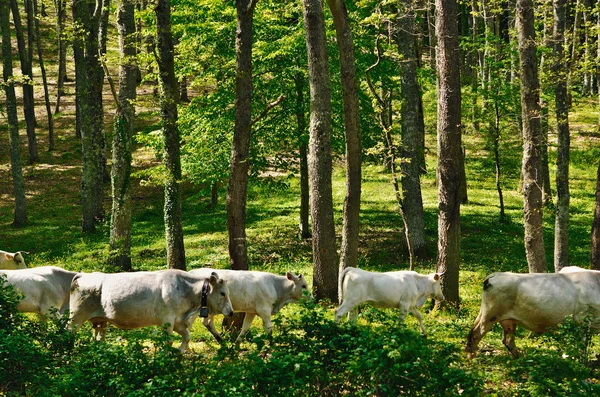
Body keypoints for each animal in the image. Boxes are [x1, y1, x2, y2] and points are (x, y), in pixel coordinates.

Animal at [68, 270, 232, 350]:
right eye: (223, 293)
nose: (231, 312)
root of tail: (83, 275)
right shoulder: (167, 320)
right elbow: (168, 341)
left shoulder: (177, 321)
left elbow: (186, 336)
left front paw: (179, 355)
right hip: (76, 316)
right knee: (67, 334)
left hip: (100, 321)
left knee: (97, 340)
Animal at [466, 270, 600, 358]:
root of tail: (495, 275)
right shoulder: (583, 318)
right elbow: (583, 345)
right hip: (490, 315)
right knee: (475, 334)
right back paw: (471, 357)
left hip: (505, 319)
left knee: (507, 340)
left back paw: (519, 358)